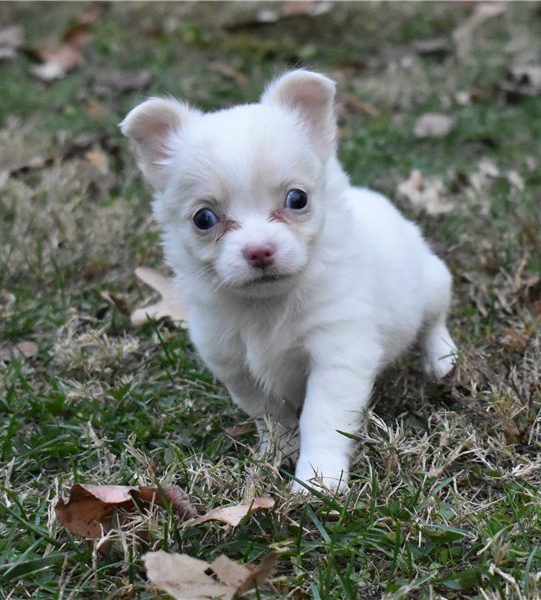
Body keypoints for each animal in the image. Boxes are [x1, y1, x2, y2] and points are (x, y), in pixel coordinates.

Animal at [122, 70, 456, 492]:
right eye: (204, 219)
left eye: (297, 199)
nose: (259, 251)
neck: (267, 306)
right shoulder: (235, 365)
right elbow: (269, 414)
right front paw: (277, 453)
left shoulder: (337, 354)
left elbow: (322, 418)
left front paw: (319, 480)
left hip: (432, 282)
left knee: (434, 320)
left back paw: (441, 358)